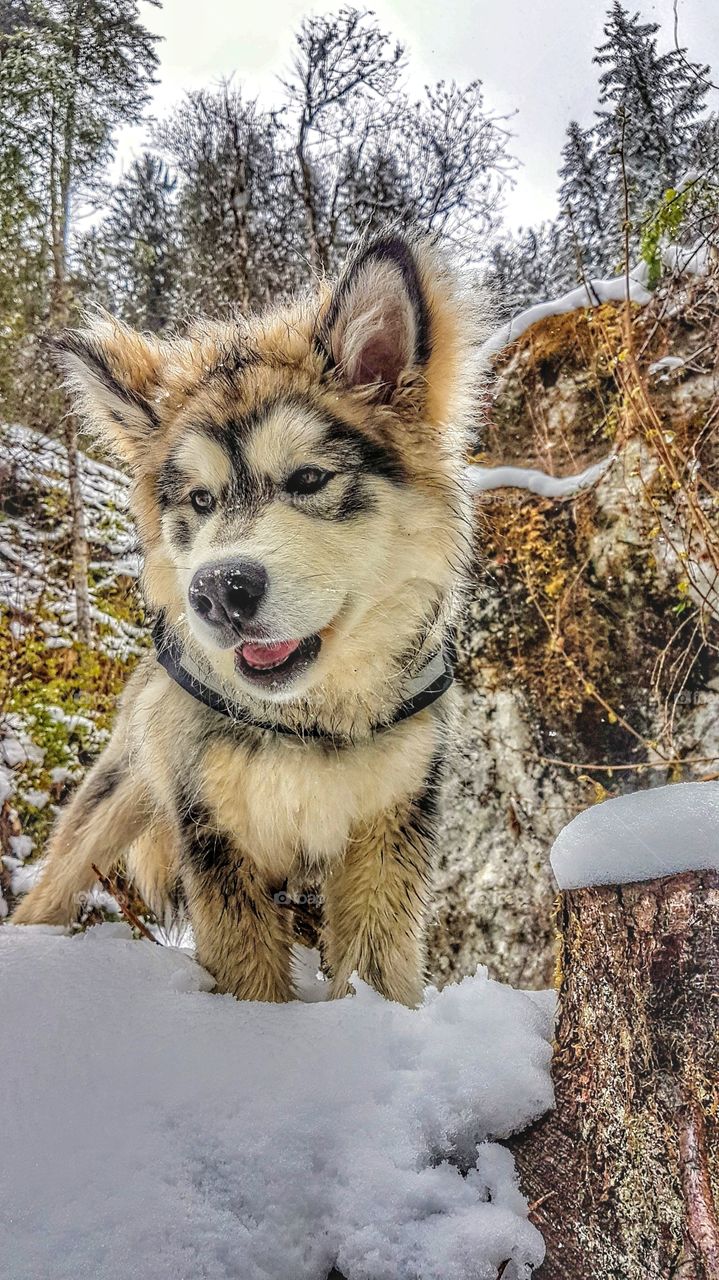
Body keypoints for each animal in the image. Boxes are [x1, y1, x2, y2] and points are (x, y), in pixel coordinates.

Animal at [13, 234, 485, 1005]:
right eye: (200, 501)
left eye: (308, 480)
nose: (219, 592)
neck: (309, 723)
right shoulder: (215, 835)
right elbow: (249, 977)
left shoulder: (387, 832)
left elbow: (379, 970)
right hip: (118, 798)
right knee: (54, 884)